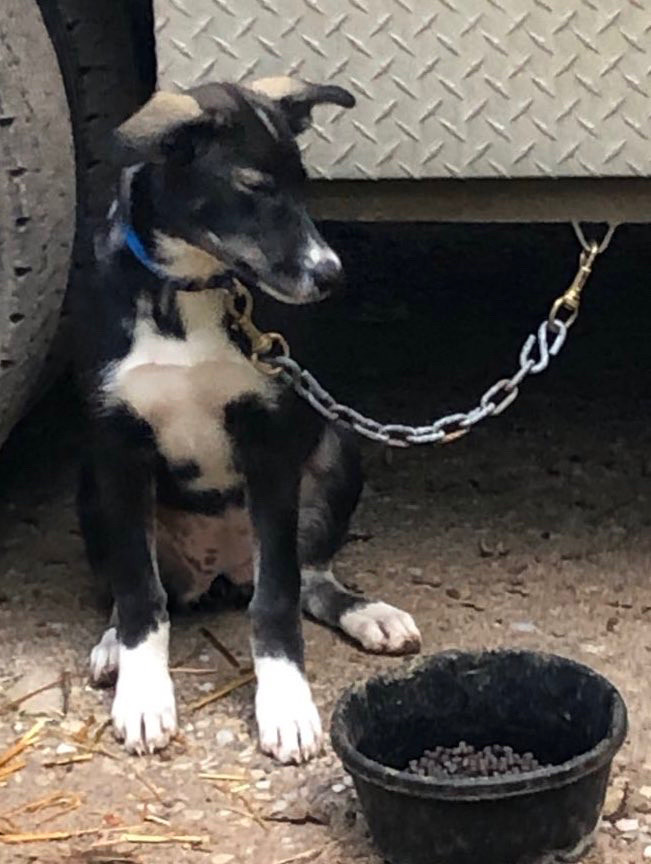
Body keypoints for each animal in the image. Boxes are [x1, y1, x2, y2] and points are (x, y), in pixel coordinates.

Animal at [76, 76, 422, 764]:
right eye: (254, 188)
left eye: (303, 185)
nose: (331, 275)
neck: (190, 291)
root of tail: (217, 573)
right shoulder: (119, 446)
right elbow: (140, 594)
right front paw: (143, 694)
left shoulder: (268, 445)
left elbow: (278, 598)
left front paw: (285, 704)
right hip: (90, 486)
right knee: (140, 588)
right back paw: (111, 646)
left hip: (335, 451)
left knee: (309, 575)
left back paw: (368, 612)